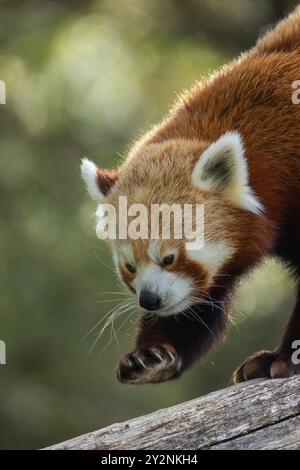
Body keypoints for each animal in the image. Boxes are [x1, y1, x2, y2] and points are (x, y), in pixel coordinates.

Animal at [81, 7, 300, 384]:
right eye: (129, 266)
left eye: (169, 258)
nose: (149, 300)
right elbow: (197, 305)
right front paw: (151, 356)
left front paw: (284, 357)